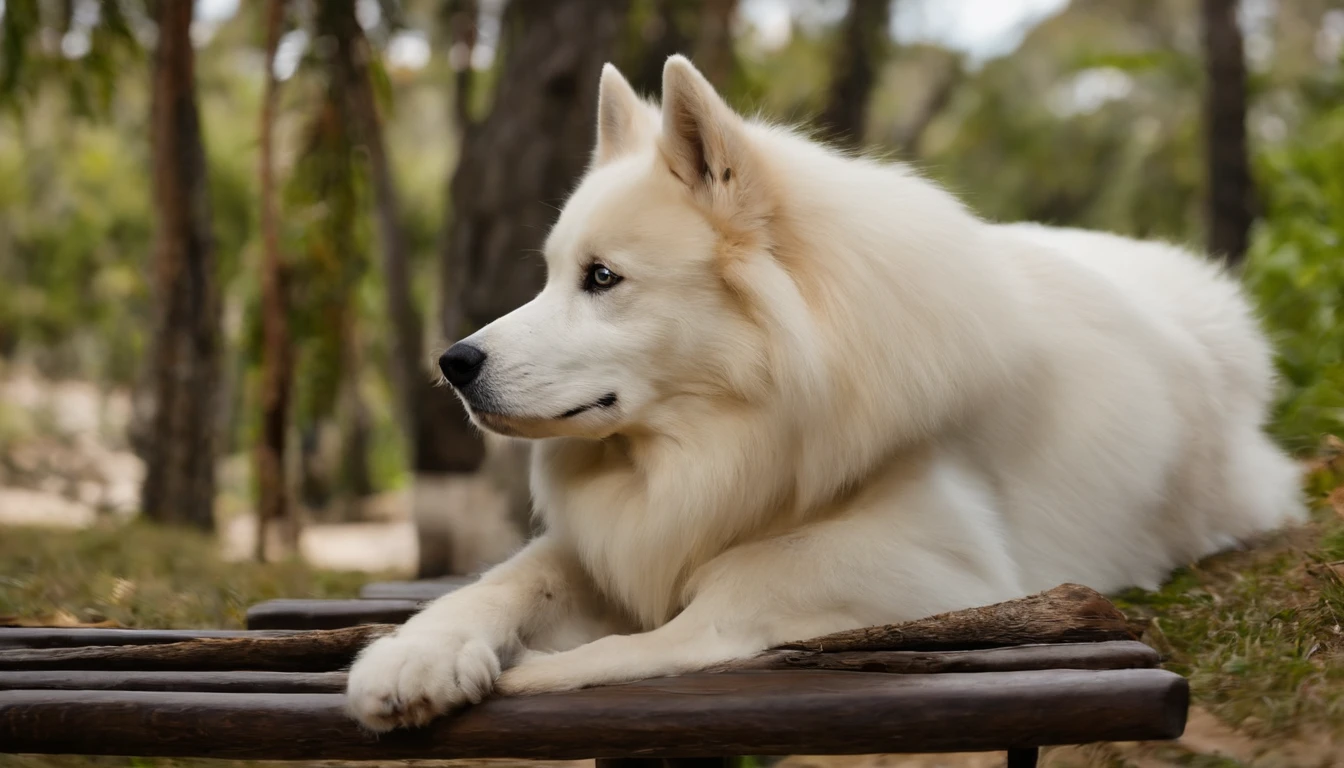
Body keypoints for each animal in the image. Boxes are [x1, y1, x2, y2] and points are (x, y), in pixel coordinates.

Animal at [344, 55, 1300, 731]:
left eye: (603, 278)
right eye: (548, 276)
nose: (453, 363)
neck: (737, 431)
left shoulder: (929, 562)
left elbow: (721, 600)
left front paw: (543, 670)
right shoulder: (631, 532)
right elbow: (508, 579)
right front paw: (415, 655)